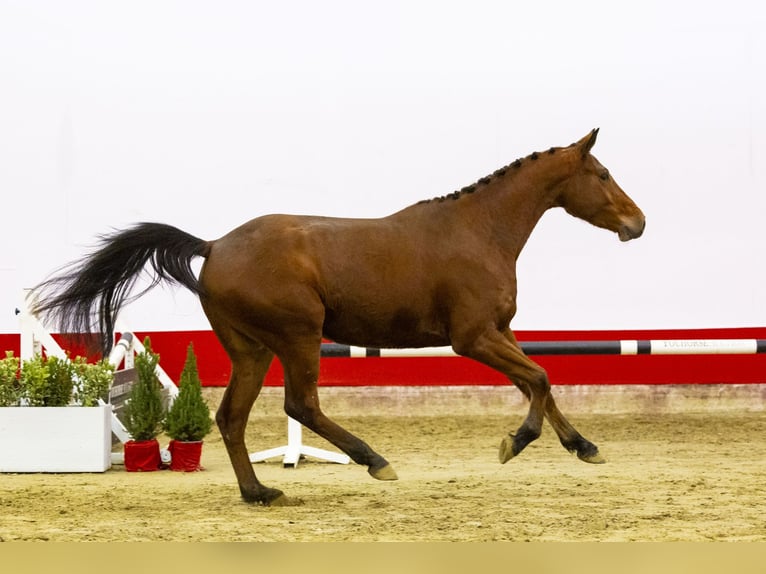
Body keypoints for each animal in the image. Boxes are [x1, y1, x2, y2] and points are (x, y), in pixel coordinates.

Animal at [30, 128, 644, 506]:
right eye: (603, 173)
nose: (637, 223)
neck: (480, 231)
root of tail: (214, 246)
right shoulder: (473, 338)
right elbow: (539, 378)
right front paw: (515, 444)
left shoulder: (501, 332)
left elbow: (540, 381)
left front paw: (583, 447)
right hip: (298, 336)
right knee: (301, 404)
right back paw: (374, 461)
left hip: (252, 349)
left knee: (232, 417)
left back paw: (259, 494)